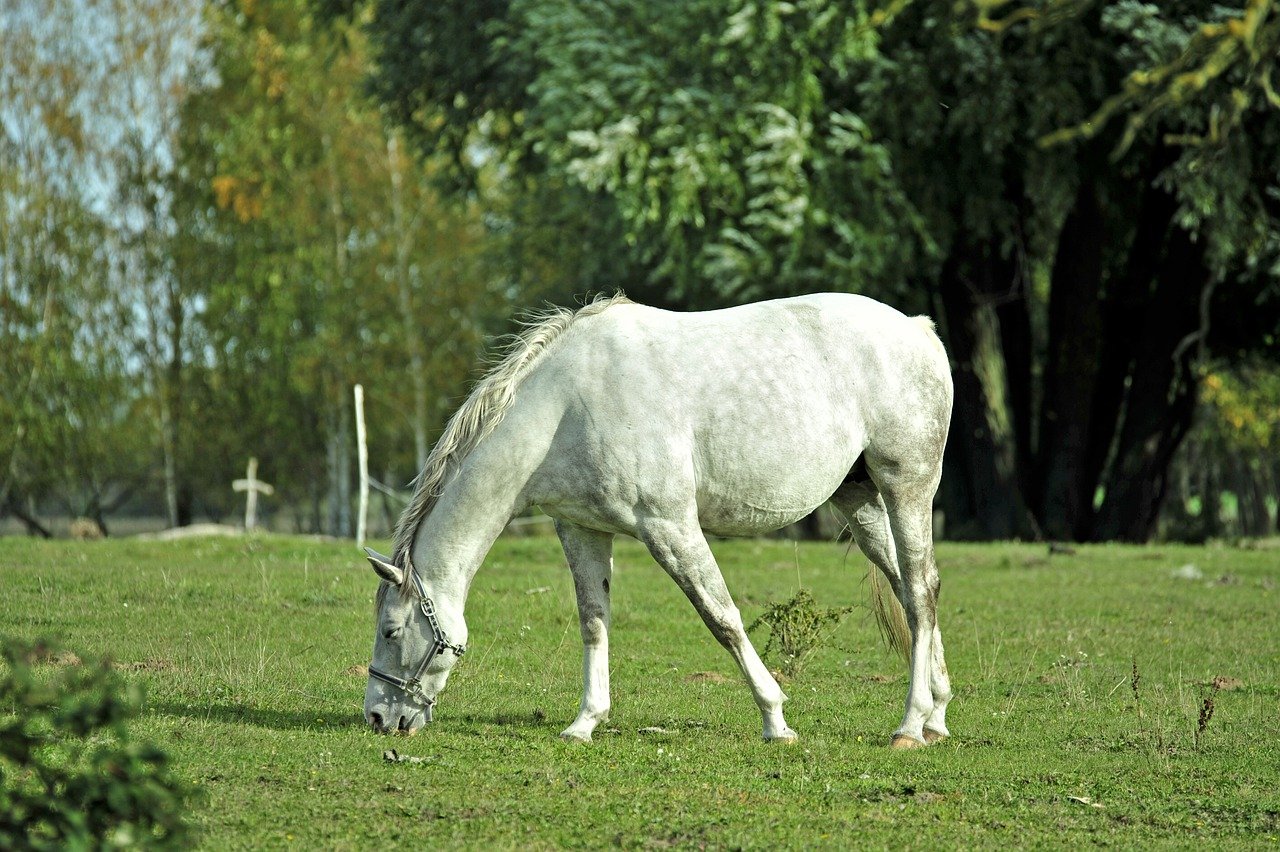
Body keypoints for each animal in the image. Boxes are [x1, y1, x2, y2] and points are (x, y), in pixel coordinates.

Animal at [360, 291, 952, 741]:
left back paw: (909, 725)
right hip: (861, 501)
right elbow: (593, 621)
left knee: (922, 588)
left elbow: (723, 619)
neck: (566, 405)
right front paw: (585, 722)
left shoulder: (670, 527)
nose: (379, 717)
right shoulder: (582, 529)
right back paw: (937, 714)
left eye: (390, 630)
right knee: (909, 588)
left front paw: (775, 720)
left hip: (907, 486)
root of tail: (918, 330)